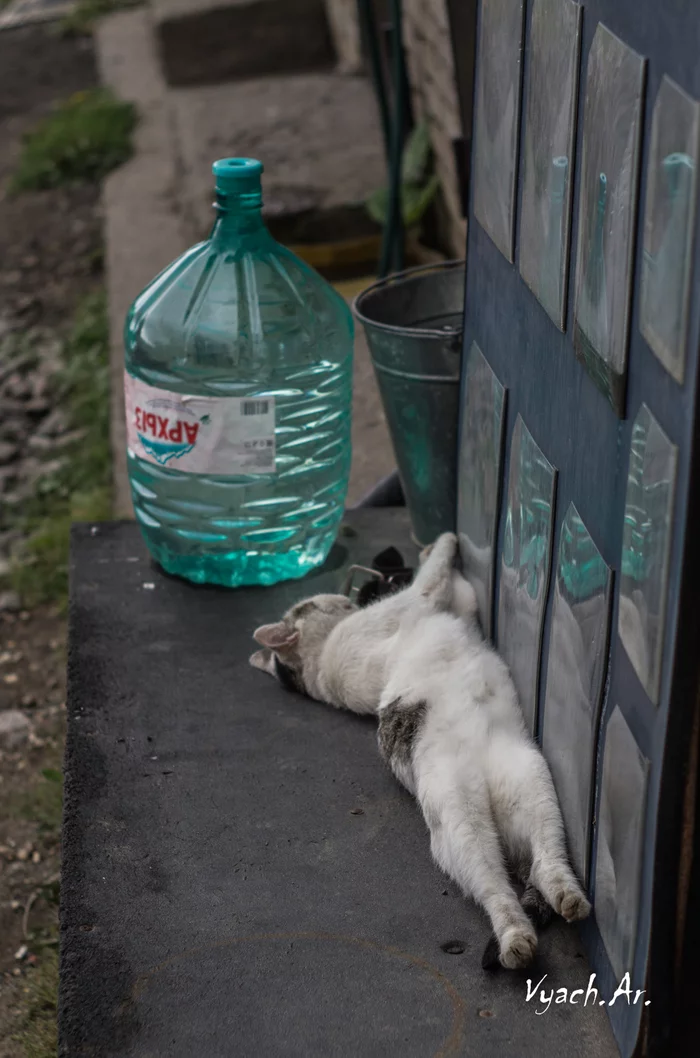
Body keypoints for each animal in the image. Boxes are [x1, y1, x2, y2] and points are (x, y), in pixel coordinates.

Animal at [249, 533, 587, 969]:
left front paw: (430, 550)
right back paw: (516, 940)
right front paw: (444, 541)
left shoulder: (457, 605)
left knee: (547, 862)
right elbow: (437, 571)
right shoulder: (418, 599)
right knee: (495, 888)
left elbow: (455, 585)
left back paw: (567, 897)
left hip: (531, 784)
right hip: (462, 828)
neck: (319, 669)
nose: (344, 596)